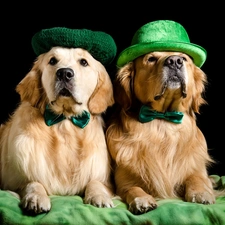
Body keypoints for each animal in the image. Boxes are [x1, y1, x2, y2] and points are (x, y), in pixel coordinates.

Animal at [0, 46, 114, 214]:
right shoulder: (12, 180)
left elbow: (95, 182)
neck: (64, 120)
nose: (64, 73)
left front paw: (99, 196)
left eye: (84, 62)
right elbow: (32, 182)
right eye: (52, 60)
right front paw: (36, 197)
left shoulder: (101, 175)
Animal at [106, 51, 217, 214]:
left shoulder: (196, 168)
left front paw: (201, 193)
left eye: (184, 58)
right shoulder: (123, 181)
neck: (163, 121)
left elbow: (197, 179)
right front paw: (142, 200)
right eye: (151, 59)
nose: (175, 61)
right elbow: (133, 188)